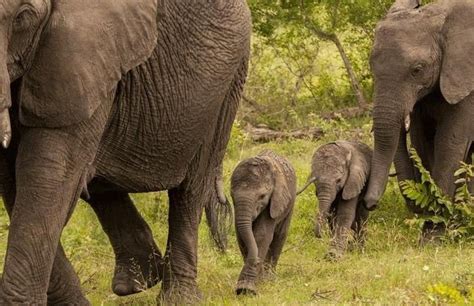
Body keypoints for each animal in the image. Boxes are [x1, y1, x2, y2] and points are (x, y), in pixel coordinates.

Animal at [0, 0, 252, 304]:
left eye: (22, 17)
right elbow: (16, 181)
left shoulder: (83, 55)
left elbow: (47, 176)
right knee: (98, 184)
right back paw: (139, 279)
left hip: (225, 85)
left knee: (191, 189)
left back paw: (177, 297)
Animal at [231, 149, 296, 296]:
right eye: (232, 196)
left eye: (262, 196)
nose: (255, 263)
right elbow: (242, 237)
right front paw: (251, 285)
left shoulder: (275, 200)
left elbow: (262, 235)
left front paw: (247, 289)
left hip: (290, 203)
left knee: (280, 236)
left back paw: (269, 278)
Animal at [364, 0, 472, 219]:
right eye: (372, 68)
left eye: (417, 70)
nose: (369, 205)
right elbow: (422, 139)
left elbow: (449, 141)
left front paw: (437, 221)